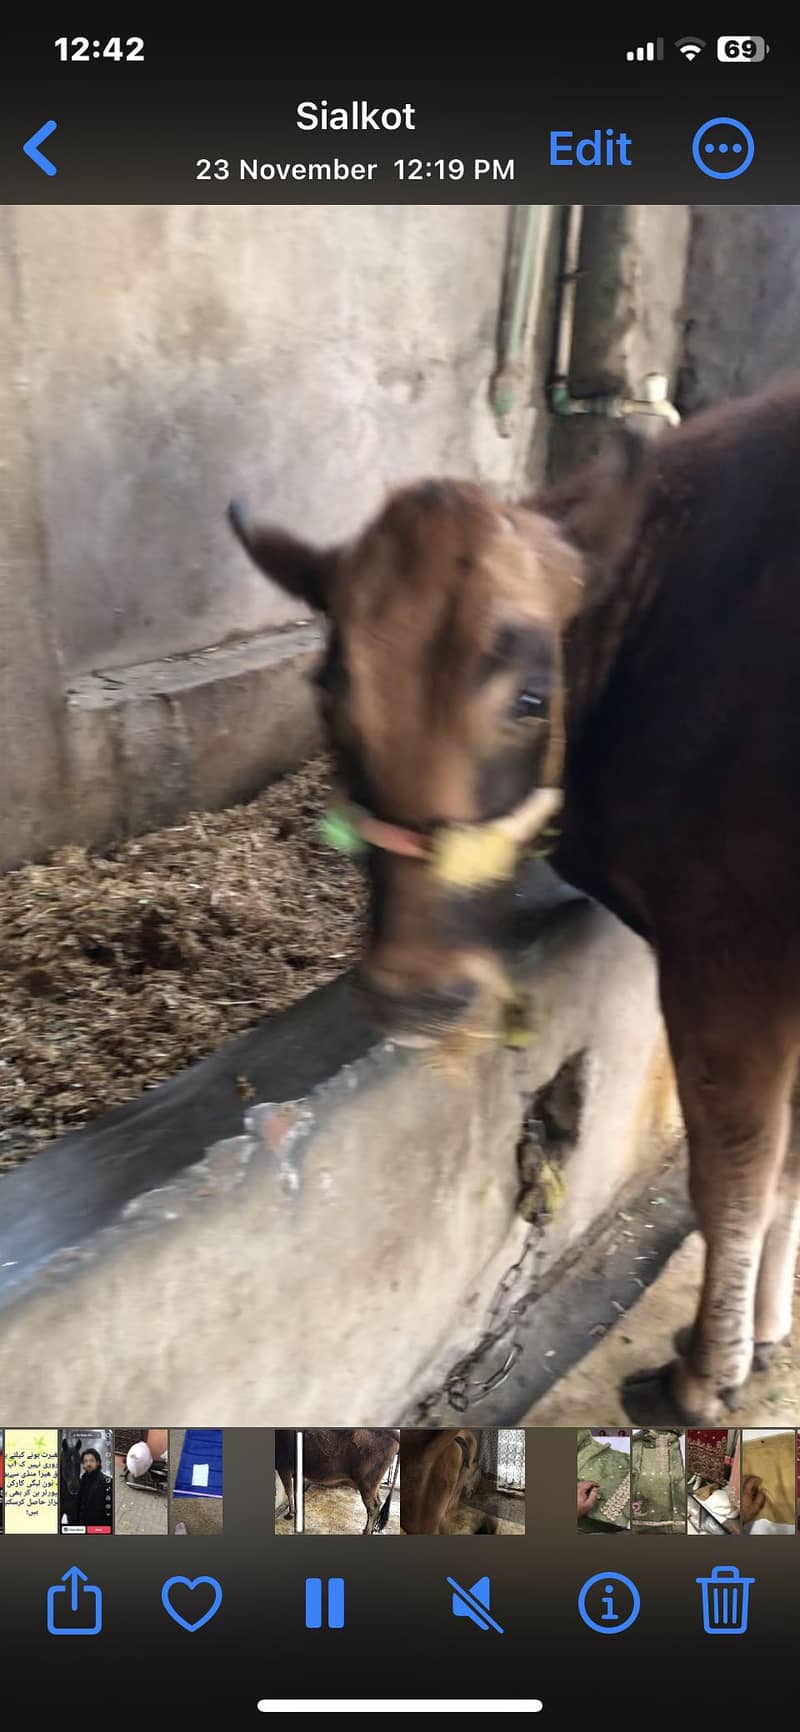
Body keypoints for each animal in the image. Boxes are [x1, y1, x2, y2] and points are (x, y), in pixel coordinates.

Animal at [228, 373, 800, 1427]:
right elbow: (786, 1168)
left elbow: (736, 1171)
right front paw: (770, 1332)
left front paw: (707, 1376)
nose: (417, 992)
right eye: (330, 692)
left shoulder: (727, 947)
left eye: (532, 699)